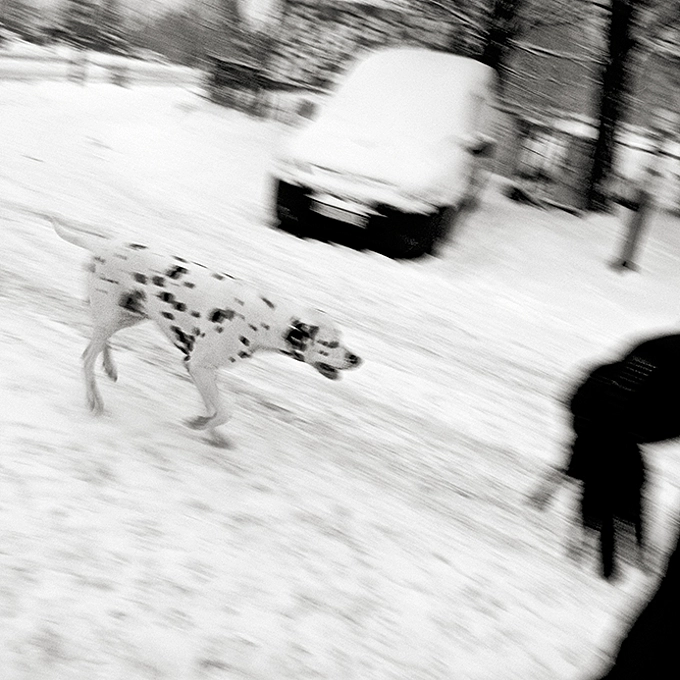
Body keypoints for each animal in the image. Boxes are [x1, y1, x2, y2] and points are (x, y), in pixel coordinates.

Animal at [51, 216, 362, 446]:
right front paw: (199, 424)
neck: (265, 318)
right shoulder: (198, 366)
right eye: (331, 343)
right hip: (110, 319)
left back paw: (110, 368)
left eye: (342, 339)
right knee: (86, 359)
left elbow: (216, 408)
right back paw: (95, 400)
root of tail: (101, 244)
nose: (356, 358)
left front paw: (212, 433)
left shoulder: (204, 371)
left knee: (101, 344)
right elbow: (225, 410)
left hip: (126, 317)